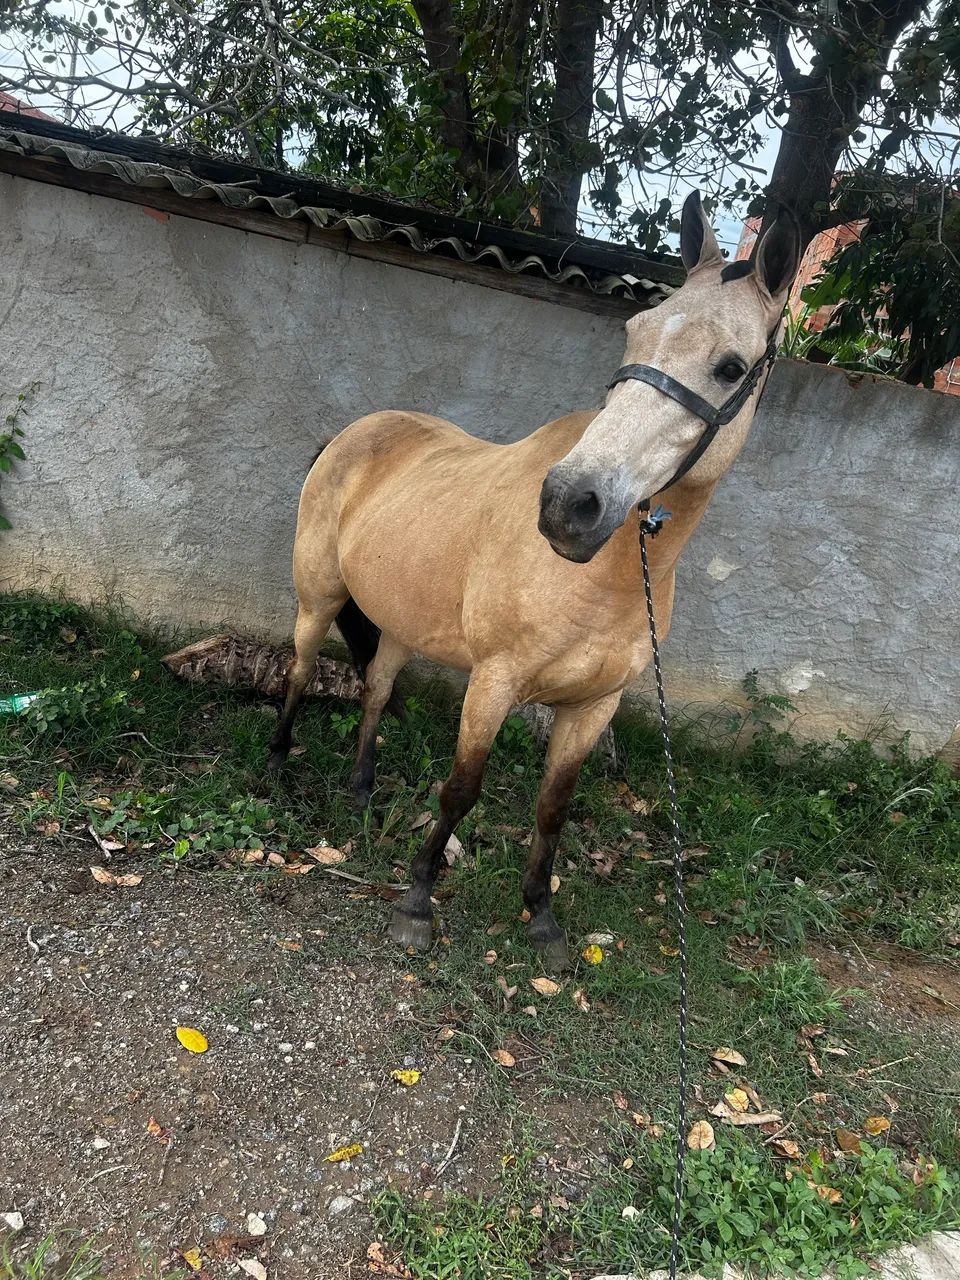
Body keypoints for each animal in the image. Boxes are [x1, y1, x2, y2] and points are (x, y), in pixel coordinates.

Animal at [268, 192, 800, 968]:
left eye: (731, 367)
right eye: (634, 332)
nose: (569, 504)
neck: (603, 579)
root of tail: (353, 432)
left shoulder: (593, 708)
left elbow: (553, 808)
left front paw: (542, 919)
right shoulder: (494, 683)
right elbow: (461, 789)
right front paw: (417, 905)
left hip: (399, 622)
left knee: (376, 690)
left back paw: (362, 794)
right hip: (318, 600)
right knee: (302, 670)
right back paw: (278, 766)